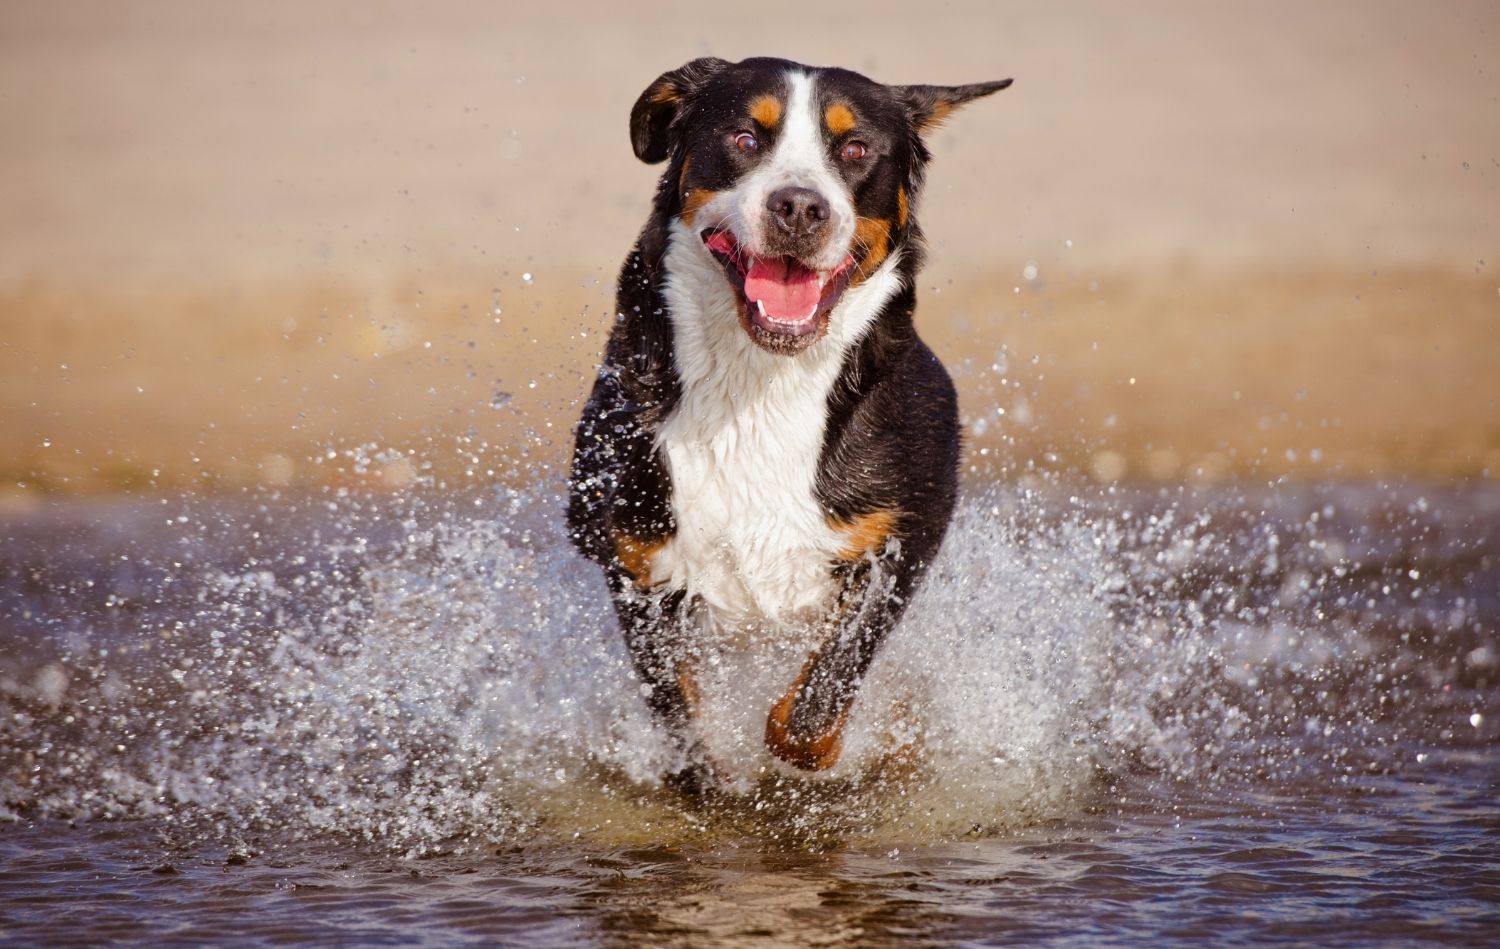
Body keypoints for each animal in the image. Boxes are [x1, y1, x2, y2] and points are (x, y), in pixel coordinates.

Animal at [567, 55, 1014, 785]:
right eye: (746, 138)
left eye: (854, 149)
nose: (800, 206)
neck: (760, 385)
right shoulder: (634, 554)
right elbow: (675, 703)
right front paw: (704, 772)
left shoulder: (906, 531)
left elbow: (831, 675)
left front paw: (808, 745)